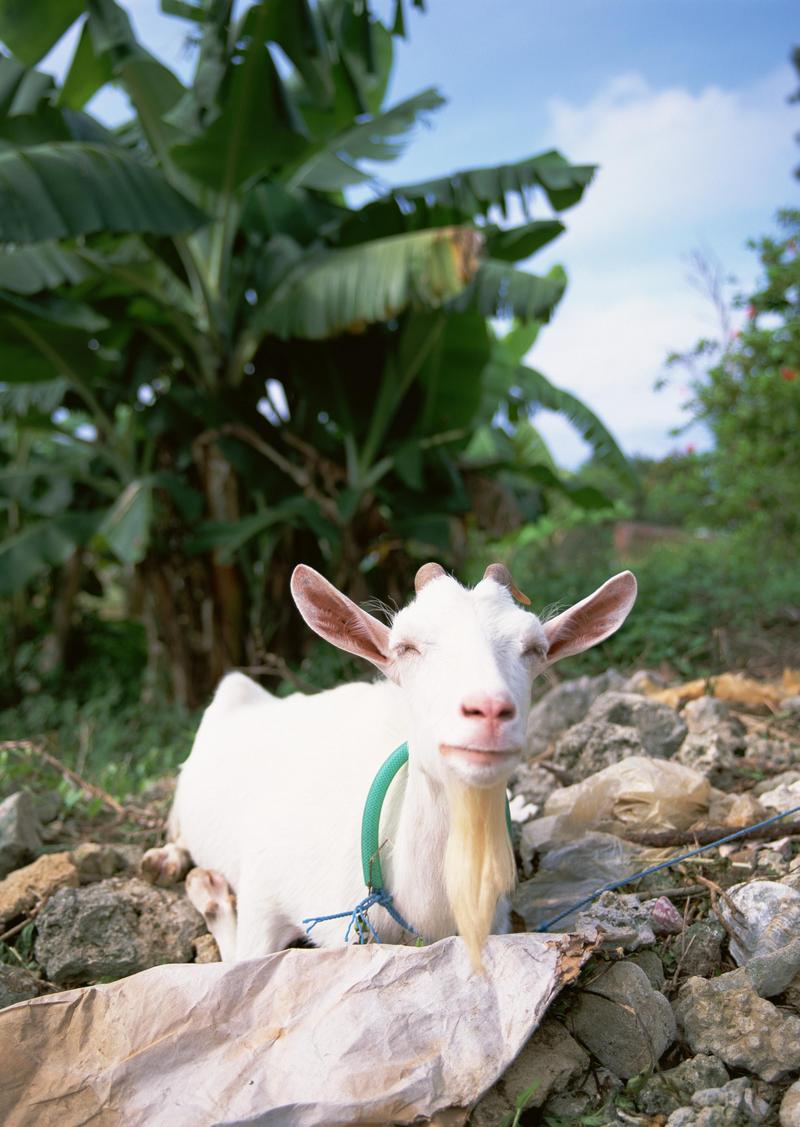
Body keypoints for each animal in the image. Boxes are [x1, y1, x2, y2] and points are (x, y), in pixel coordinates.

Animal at [144, 563, 640, 969]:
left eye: (535, 648)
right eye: (405, 646)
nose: (489, 710)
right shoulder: (264, 889)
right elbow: (238, 958)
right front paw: (207, 891)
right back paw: (168, 862)